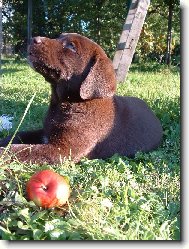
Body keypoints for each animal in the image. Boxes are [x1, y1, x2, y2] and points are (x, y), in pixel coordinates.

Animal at [0, 33, 162, 165]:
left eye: (71, 46)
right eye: (59, 37)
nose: (33, 39)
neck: (68, 103)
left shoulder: (62, 149)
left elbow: (22, 150)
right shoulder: (45, 132)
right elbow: (18, 135)